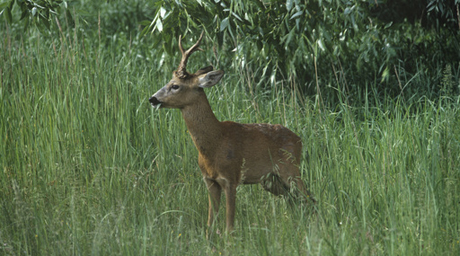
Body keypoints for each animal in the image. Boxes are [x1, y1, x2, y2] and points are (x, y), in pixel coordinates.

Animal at [149, 31, 314, 233]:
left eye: (175, 85)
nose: (152, 99)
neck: (215, 142)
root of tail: (299, 139)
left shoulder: (231, 178)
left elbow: (229, 225)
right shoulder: (209, 181)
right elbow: (210, 223)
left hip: (290, 169)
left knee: (309, 199)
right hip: (270, 180)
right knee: (294, 201)